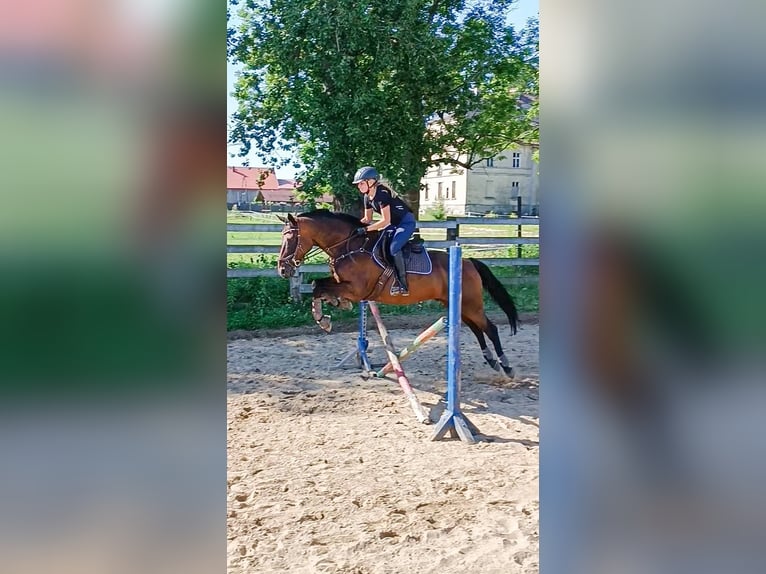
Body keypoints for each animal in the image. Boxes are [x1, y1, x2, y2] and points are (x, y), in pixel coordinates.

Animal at [277, 209, 519, 377]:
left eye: (289, 239)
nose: (282, 269)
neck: (348, 246)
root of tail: (468, 261)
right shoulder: (341, 283)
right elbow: (318, 286)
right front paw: (329, 312)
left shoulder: (356, 289)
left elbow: (320, 287)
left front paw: (326, 316)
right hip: (456, 304)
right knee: (475, 329)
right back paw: (491, 360)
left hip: (471, 304)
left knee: (490, 328)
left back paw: (506, 365)